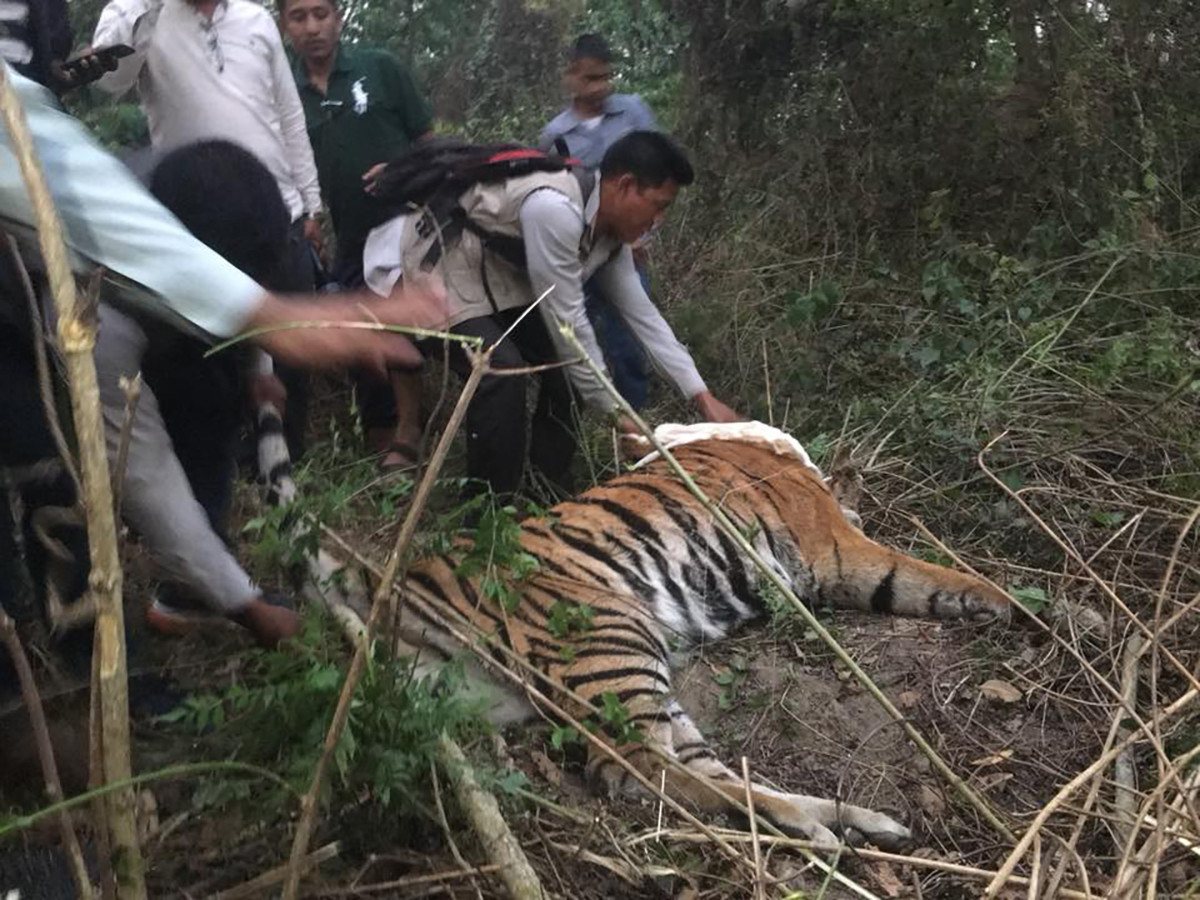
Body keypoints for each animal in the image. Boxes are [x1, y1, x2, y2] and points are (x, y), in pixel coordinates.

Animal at [379, 427, 1008, 849]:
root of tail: (404, 592)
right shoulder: (834, 548)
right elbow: (934, 576)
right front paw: (1010, 606)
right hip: (612, 635)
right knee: (632, 770)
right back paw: (819, 829)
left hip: (633, 673)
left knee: (709, 772)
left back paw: (854, 823)